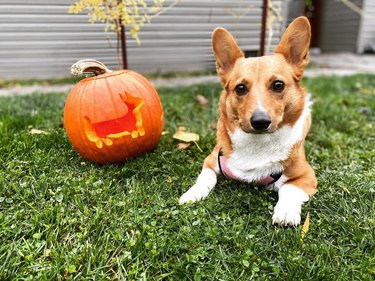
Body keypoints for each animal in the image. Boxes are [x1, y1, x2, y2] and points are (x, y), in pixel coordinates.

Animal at [178, 17, 318, 225]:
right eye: (240, 88)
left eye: (278, 85)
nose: (260, 121)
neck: (257, 144)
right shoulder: (210, 161)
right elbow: (205, 179)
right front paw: (192, 194)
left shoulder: (307, 175)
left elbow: (289, 188)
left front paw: (285, 212)